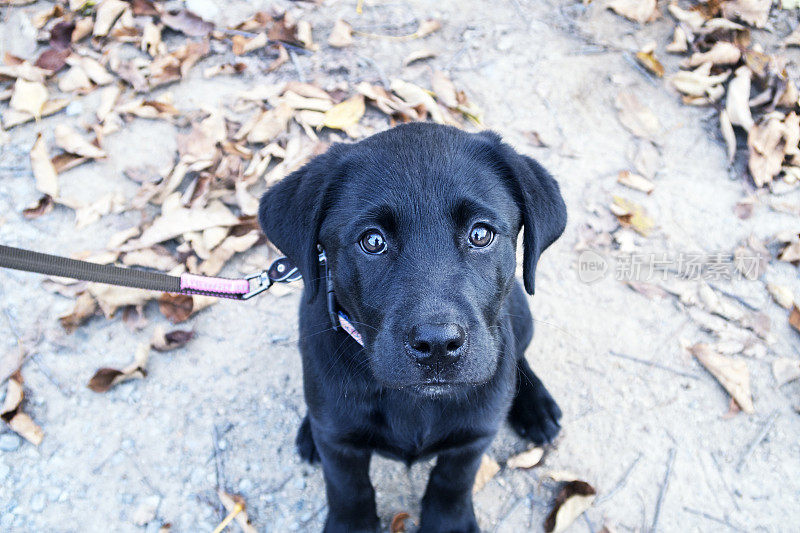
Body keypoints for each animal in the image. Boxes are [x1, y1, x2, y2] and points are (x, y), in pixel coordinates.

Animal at [260, 123, 564, 532]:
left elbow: (453, 481)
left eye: (480, 235)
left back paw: (538, 407)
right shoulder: (340, 446)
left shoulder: (474, 437)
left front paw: (449, 523)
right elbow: (347, 487)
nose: (437, 345)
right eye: (373, 241)